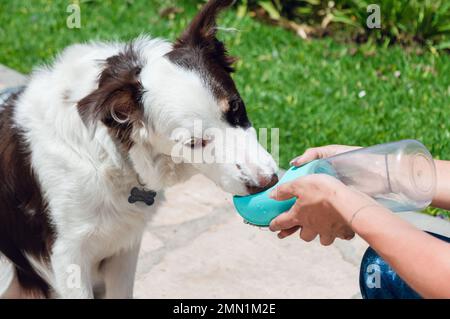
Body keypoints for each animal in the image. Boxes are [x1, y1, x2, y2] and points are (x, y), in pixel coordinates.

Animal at [0, 0, 278, 300]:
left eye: (236, 108)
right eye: (193, 142)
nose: (267, 182)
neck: (111, 156)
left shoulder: (125, 245)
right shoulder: (67, 255)